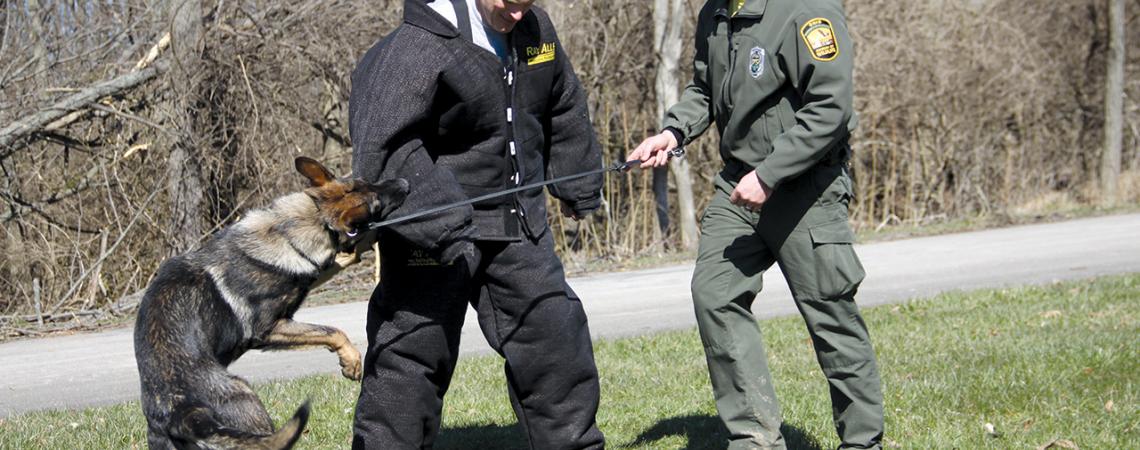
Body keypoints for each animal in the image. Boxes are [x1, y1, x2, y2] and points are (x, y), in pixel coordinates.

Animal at [133, 157, 410, 448]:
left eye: (365, 181)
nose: (405, 183)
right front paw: (352, 360)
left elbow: (339, 260)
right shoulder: (270, 329)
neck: (288, 228)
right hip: (251, 407)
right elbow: (332, 331)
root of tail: (182, 413)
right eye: (376, 204)